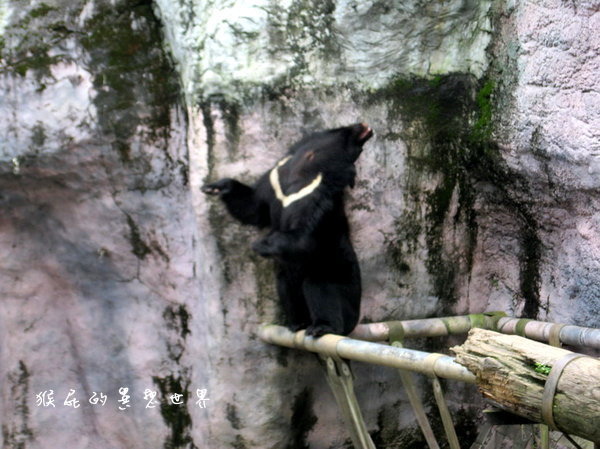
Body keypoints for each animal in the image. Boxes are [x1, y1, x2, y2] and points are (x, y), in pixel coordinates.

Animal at [204, 122, 372, 336]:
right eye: (347, 130)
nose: (365, 126)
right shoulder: (273, 184)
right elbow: (254, 207)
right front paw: (215, 187)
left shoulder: (317, 199)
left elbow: (304, 238)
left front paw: (262, 244)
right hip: (287, 278)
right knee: (286, 289)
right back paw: (297, 324)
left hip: (334, 274)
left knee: (320, 288)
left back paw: (321, 327)